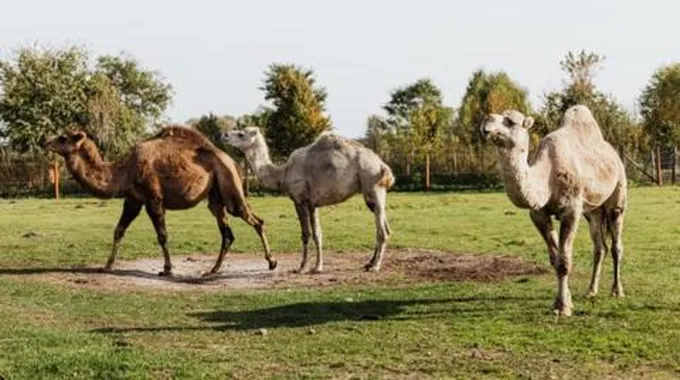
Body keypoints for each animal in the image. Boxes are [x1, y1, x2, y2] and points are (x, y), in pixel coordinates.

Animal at [43, 127, 276, 276]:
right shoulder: (133, 200)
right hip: (216, 197)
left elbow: (162, 235)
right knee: (227, 232)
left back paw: (272, 262)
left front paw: (167, 269)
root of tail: (233, 163)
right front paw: (107, 266)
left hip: (230, 188)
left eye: (63, 138)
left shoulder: (153, 199)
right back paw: (212, 270)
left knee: (255, 220)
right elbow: (119, 230)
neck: (124, 171)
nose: (44, 141)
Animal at [222, 127, 394, 274]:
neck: (282, 174)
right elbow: (317, 234)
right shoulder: (312, 204)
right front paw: (318, 266)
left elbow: (305, 234)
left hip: (373, 186)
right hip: (371, 195)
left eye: (241, 134)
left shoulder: (299, 200)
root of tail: (383, 167)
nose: (224, 135)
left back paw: (375, 266)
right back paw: (369, 263)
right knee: (383, 226)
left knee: (383, 231)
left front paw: (302, 267)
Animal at [480, 105, 624, 316]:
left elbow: (564, 262)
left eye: (511, 121)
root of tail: (615, 155)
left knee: (616, 244)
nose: (486, 123)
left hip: (618, 194)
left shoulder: (571, 210)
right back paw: (591, 291)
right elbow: (555, 259)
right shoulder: (538, 214)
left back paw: (617, 291)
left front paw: (563, 307)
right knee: (599, 247)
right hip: (592, 212)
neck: (546, 177)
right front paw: (565, 301)